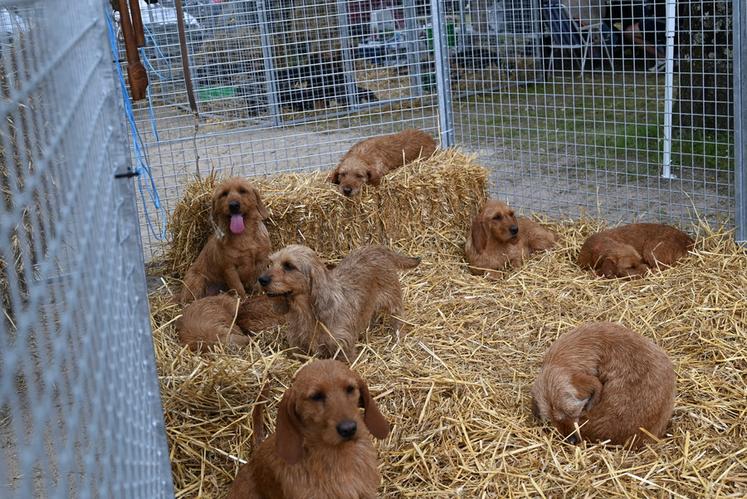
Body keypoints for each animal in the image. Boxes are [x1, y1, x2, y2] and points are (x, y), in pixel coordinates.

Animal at [258, 245, 420, 360]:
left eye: (289, 265)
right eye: (270, 263)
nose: (261, 279)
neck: (307, 312)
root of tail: (377, 248)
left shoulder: (343, 347)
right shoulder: (299, 347)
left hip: (392, 299)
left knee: (398, 316)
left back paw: (398, 335)